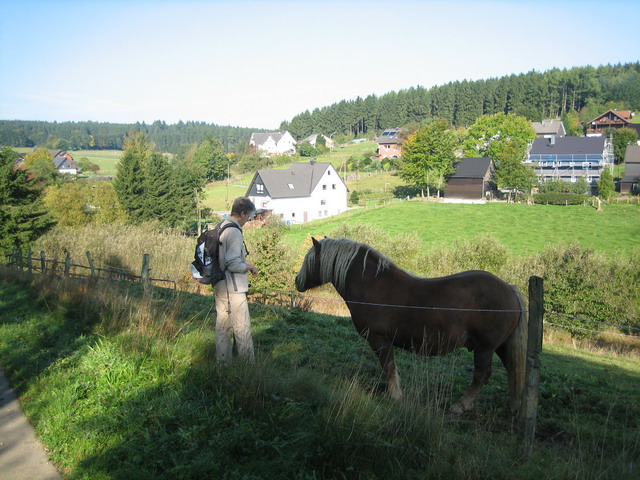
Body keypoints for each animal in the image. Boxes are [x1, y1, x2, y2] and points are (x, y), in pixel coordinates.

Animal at [296, 236, 528, 412]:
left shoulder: (379, 340)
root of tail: (509, 288)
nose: (297, 281)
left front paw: (395, 396)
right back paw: (514, 406)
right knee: (512, 370)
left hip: (485, 347)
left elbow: (389, 367)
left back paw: (461, 406)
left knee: (482, 374)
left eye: (309, 259)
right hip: (501, 346)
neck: (373, 285)